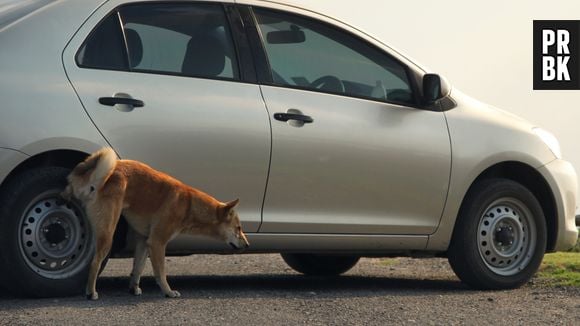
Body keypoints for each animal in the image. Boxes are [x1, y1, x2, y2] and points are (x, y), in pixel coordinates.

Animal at [62, 148, 249, 300]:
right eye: (238, 228)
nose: (247, 245)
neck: (188, 204)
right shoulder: (157, 242)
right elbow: (161, 272)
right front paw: (168, 292)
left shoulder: (144, 241)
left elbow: (138, 267)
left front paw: (134, 288)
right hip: (108, 233)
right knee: (95, 262)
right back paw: (91, 292)